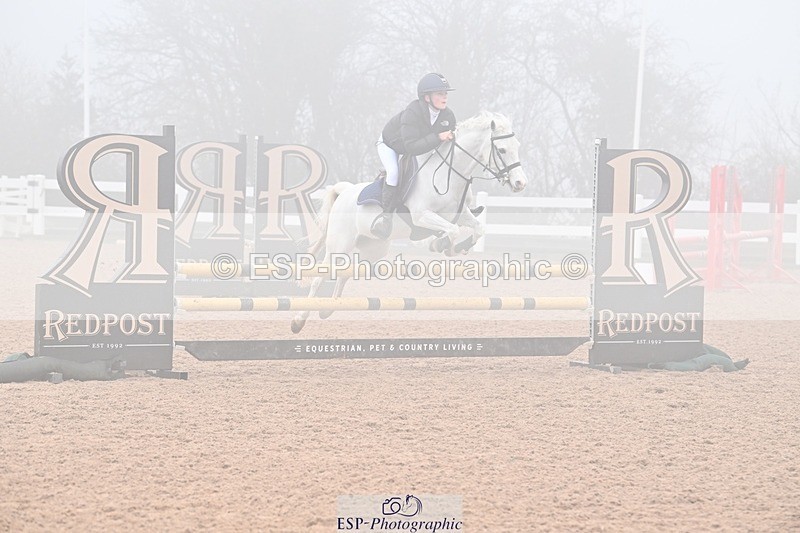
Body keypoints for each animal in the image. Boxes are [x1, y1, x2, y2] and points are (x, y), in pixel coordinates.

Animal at [291, 111, 528, 333]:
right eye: (502, 150)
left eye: (517, 146)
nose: (520, 183)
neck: (448, 174)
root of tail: (345, 191)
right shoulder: (422, 215)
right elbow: (451, 230)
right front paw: (441, 244)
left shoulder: (460, 214)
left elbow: (478, 228)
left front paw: (458, 246)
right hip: (339, 246)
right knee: (320, 278)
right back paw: (299, 320)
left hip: (373, 249)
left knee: (346, 273)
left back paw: (328, 309)